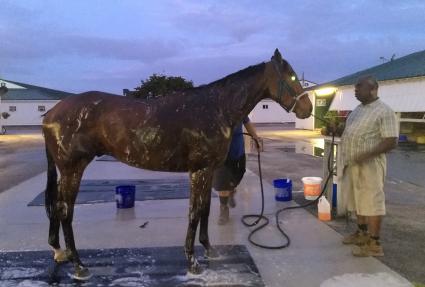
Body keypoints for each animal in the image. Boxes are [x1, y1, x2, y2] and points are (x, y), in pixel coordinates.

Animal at [42, 49, 312, 282]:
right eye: (291, 76)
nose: (307, 109)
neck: (216, 107)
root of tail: (50, 114)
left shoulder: (207, 171)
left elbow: (205, 209)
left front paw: (209, 249)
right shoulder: (199, 171)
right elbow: (194, 212)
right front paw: (192, 262)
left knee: (56, 206)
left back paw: (58, 251)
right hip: (73, 169)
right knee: (65, 211)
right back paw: (79, 266)